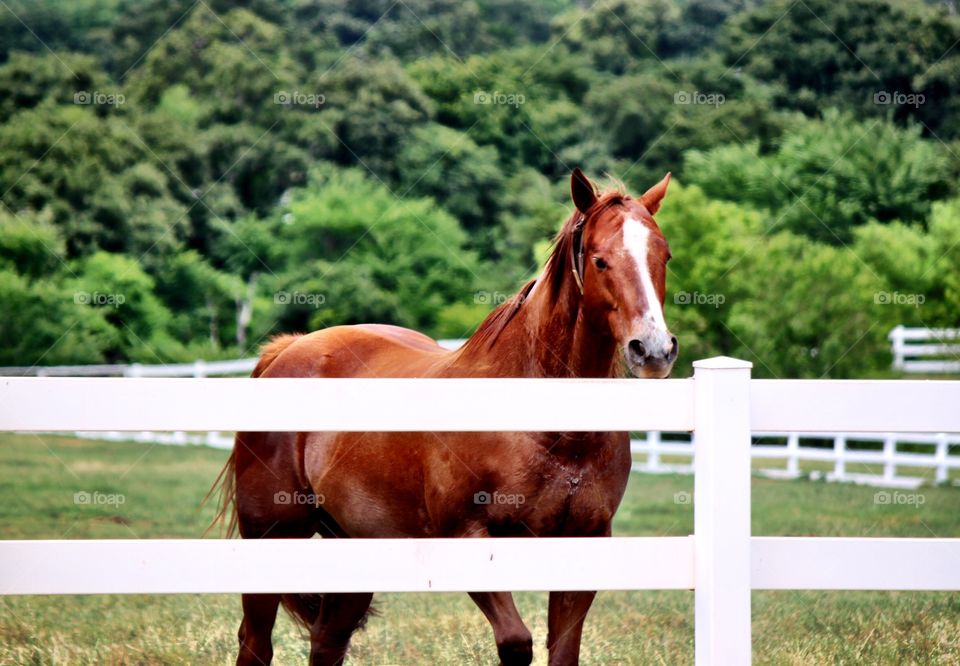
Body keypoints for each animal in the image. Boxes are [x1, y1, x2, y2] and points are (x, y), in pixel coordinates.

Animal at [214, 169, 680, 660]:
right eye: (600, 260)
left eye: (664, 255)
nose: (653, 350)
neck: (552, 430)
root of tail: (288, 350)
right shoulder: (466, 538)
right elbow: (516, 642)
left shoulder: (584, 543)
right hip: (272, 536)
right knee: (255, 641)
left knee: (326, 641)